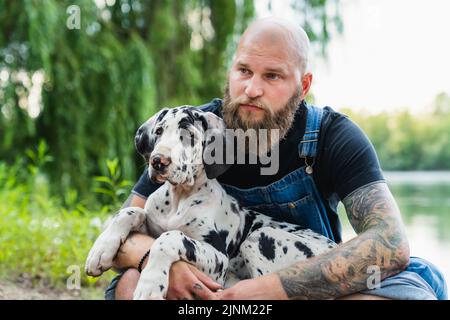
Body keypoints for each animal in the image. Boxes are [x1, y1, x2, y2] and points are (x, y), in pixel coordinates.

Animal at [84, 106, 334, 298]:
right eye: (159, 131)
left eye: (189, 134)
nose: (158, 161)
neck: (179, 198)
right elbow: (131, 212)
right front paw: (101, 250)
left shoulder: (218, 260)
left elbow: (170, 237)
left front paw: (151, 284)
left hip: (260, 237)